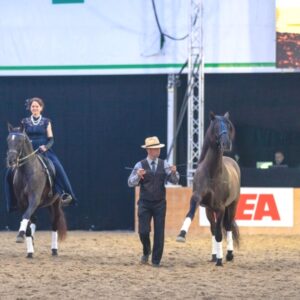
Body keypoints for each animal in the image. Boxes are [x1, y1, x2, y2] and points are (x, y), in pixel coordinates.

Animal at [5, 124, 67, 258]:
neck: (27, 172)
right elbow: (27, 221)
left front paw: (20, 235)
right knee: (33, 220)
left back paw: (54, 250)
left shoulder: (34, 198)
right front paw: (29, 250)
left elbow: (25, 216)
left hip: (55, 203)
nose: (11, 161)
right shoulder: (22, 203)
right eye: (8, 140)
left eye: (20, 141)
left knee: (54, 223)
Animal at [177, 113, 240, 268]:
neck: (212, 172)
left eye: (228, 125)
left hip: (232, 205)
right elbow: (191, 212)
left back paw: (228, 255)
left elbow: (220, 233)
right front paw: (181, 234)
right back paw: (214, 256)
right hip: (209, 210)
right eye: (216, 126)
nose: (226, 143)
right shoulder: (198, 198)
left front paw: (220, 260)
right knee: (213, 228)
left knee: (227, 226)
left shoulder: (221, 207)